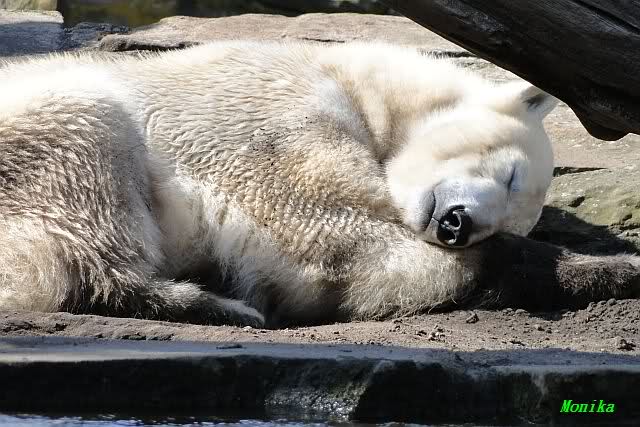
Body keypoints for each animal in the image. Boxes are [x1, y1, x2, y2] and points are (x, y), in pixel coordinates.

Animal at [0, 41, 638, 327]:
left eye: (512, 212)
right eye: (509, 174)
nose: (460, 224)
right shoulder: (266, 106)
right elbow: (330, 228)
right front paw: (613, 266)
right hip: (52, 131)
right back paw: (216, 303)